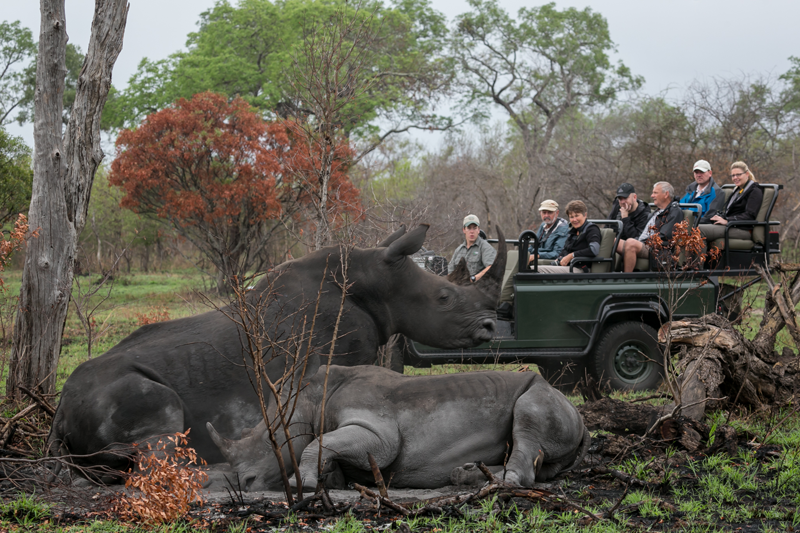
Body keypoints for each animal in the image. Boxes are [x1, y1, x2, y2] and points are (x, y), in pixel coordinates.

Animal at [207, 365, 590, 490]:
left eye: (269, 441)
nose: (245, 484)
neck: (310, 399)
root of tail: (582, 417)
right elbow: (326, 448)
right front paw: (331, 479)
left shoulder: (378, 432)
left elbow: (319, 442)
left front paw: (306, 485)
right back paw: (466, 476)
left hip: (540, 393)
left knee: (528, 417)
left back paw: (502, 484)